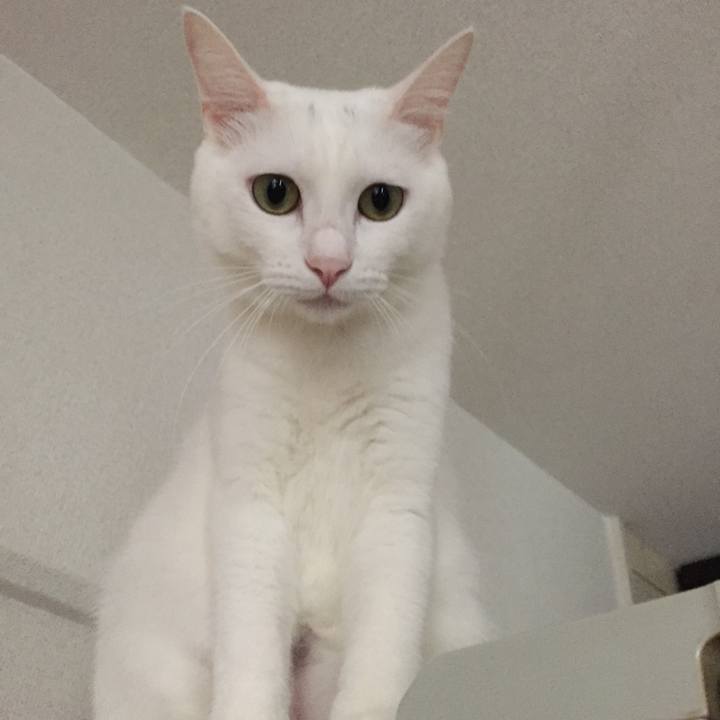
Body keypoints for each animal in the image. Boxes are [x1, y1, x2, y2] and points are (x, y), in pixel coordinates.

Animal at [94, 8, 495, 720]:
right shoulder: (249, 513)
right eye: (274, 194)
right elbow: (252, 668)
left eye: (382, 201)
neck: (324, 366)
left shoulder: (398, 513)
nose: (328, 264)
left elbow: (379, 669)